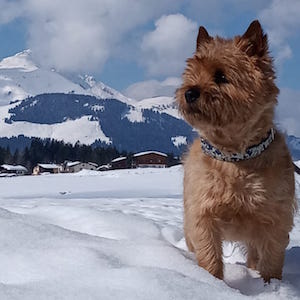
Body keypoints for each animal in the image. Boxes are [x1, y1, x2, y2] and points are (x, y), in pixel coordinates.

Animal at [176, 19, 296, 282]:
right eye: (191, 74)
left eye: (221, 76)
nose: (189, 92)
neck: (234, 156)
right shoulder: (203, 213)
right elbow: (209, 254)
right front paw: (211, 283)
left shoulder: (274, 217)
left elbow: (271, 257)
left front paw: (271, 285)